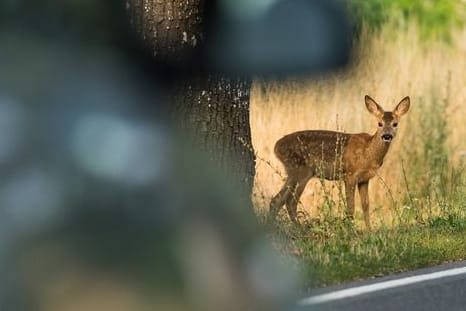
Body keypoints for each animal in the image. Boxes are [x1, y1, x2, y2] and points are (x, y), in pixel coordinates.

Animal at [268, 95, 410, 229]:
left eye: (395, 124)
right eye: (379, 123)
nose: (387, 136)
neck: (368, 152)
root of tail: (276, 147)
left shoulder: (364, 179)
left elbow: (365, 206)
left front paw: (369, 231)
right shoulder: (350, 175)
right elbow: (351, 207)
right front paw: (351, 230)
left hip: (294, 172)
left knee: (278, 201)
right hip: (300, 171)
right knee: (290, 202)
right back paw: (298, 228)